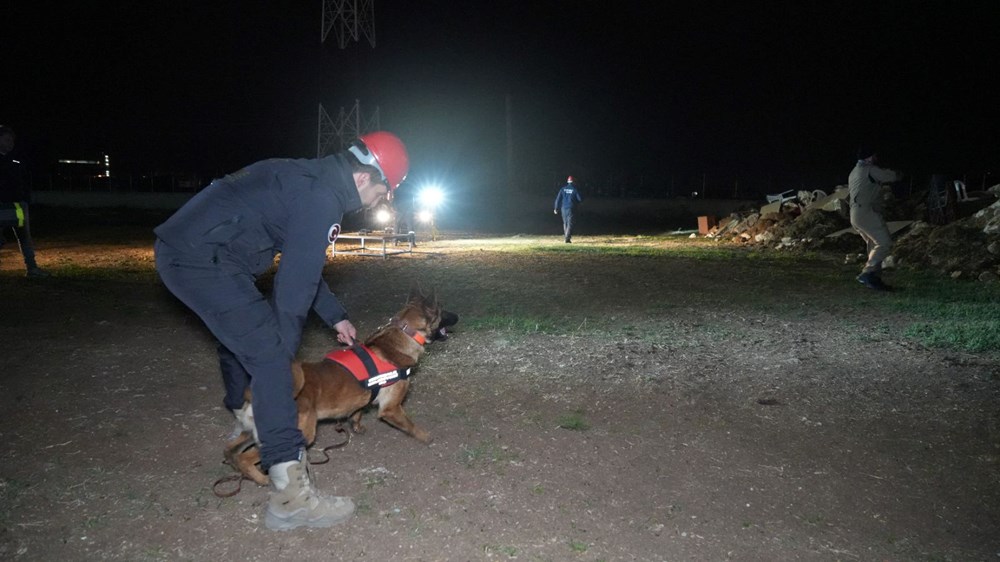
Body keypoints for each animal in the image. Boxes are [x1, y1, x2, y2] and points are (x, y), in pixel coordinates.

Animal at [225, 286, 456, 484]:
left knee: (231, 450)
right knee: (246, 457)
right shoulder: (391, 409)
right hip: (299, 434)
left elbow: (357, 411)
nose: (458, 316)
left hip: (252, 431)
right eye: (442, 310)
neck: (402, 338)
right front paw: (425, 437)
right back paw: (262, 479)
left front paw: (356, 426)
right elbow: (410, 425)